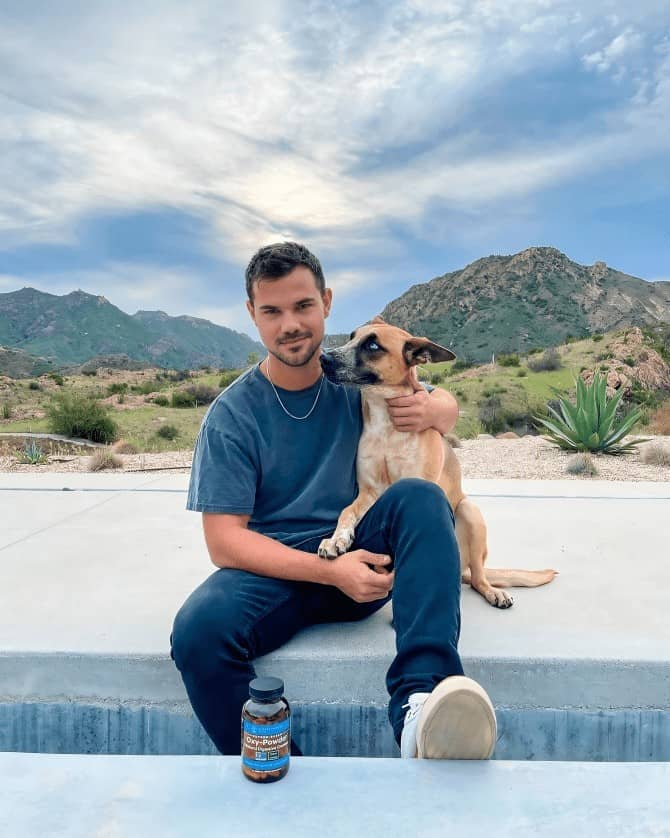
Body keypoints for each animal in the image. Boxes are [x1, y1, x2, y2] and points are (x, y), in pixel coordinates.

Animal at [318, 317, 557, 609]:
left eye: (373, 345)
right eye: (352, 337)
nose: (324, 358)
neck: (386, 424)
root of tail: (463, 568)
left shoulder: (418, 484)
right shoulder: (369, 492)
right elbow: (346, 512)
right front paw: (335, 540)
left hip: (469, 512)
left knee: (478, 577)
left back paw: (493, 591)